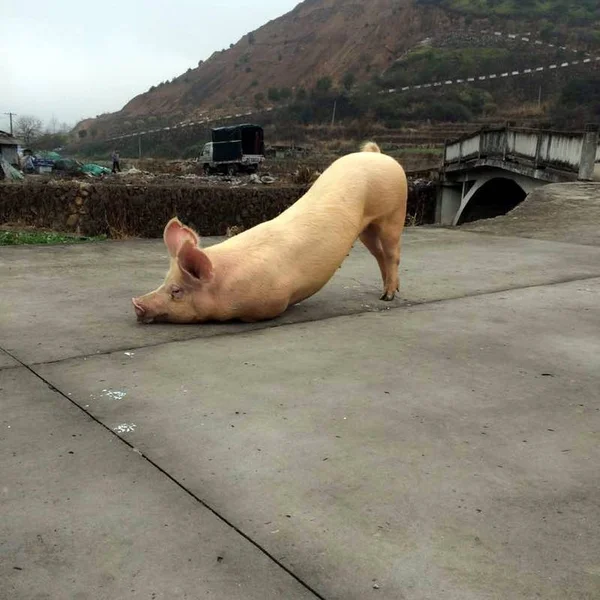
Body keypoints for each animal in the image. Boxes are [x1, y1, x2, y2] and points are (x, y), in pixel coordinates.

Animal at [132, 142, 408, 324]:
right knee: (379, 255)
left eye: (176, 291)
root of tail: (377, 154)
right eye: (164, 281)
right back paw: (388, 292)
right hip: (365, 228)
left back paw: (388, 297)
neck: (226, 282)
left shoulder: (273, 301)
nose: (137, 303)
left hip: (394, 213)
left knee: (392, 253)